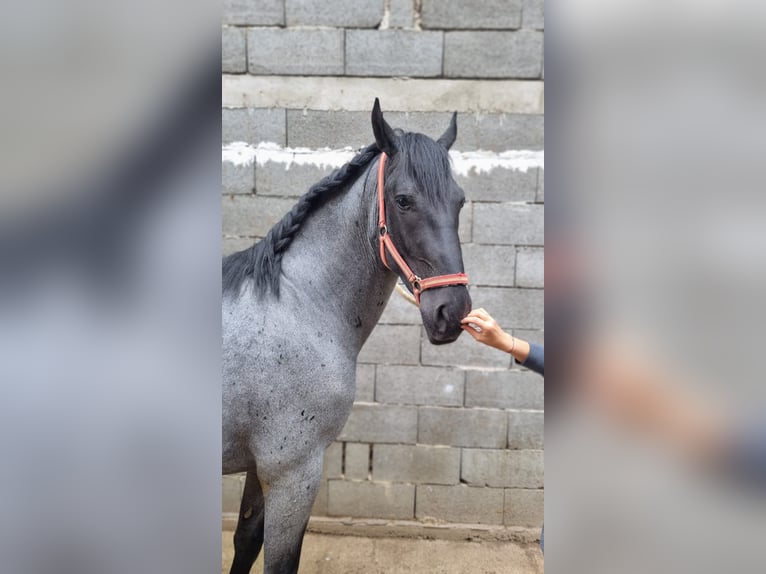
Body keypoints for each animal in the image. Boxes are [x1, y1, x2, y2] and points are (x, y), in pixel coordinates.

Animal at [222, 99, 472, 574]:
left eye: (460, 201)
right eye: (403, 200)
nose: (453, 312)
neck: (296, 306)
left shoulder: (262, 469)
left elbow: (245, 541)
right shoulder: (292, 473)